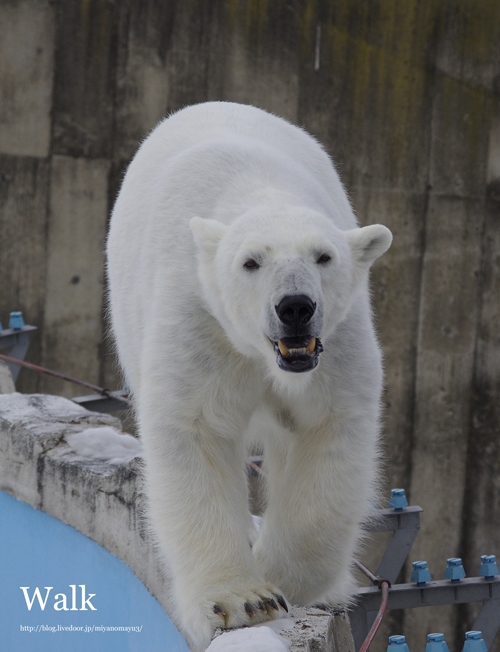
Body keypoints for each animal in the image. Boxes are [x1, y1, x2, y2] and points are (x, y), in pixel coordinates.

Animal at [107, 102, 392, 648]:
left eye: (324, 256)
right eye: (250, 262)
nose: (295, 306)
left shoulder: (337, 345)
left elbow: (328, 430)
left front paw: (282, 578)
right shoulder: (200, 318)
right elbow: (196, 429)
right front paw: (244, 600)